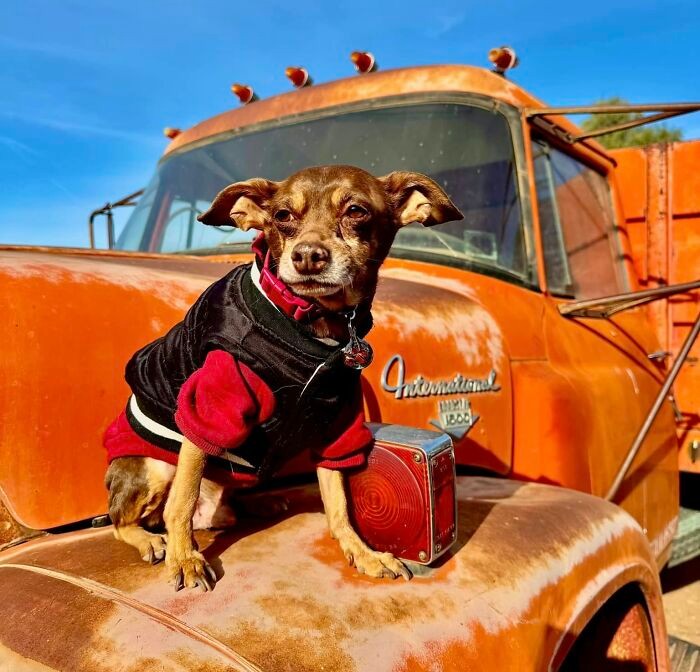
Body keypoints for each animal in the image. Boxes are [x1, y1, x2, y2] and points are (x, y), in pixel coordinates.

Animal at [104, 165, 462, 592]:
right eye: (282, 216)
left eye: (356, 211)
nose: (307, 255)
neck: (313, 325)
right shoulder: (209, 411)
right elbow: (183, 500)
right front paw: (185, 558)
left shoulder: (337, 424)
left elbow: (338, 503)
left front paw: (363, 553)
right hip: (155, 468)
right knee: (122, 521)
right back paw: (151, 539)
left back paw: (258, 503)